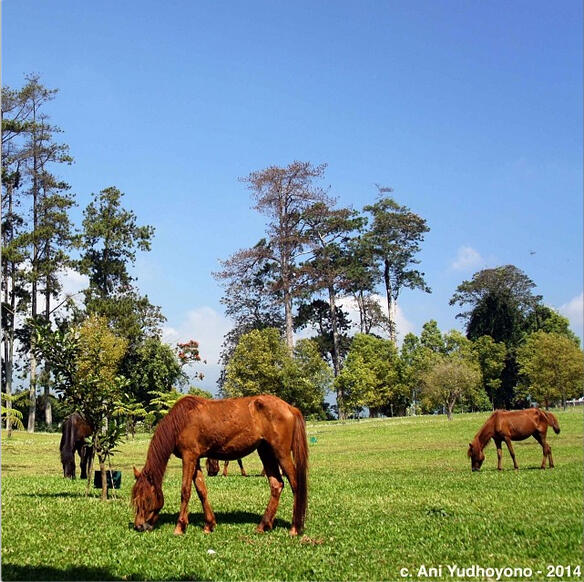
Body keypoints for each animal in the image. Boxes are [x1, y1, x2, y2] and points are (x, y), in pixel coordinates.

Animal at [131, 396, 308, 540]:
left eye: (146, 499)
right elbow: (201, 490)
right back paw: (263, 525)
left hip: (281, 453)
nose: (139, 526)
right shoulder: (195, 460)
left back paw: (294, 528)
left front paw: (180, 527)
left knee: (295, 485)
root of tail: (290, 408)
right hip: (266, 452)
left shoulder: (189, 457)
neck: (181, 421)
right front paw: (209, 525)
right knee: (276, 485)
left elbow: (185, 491)